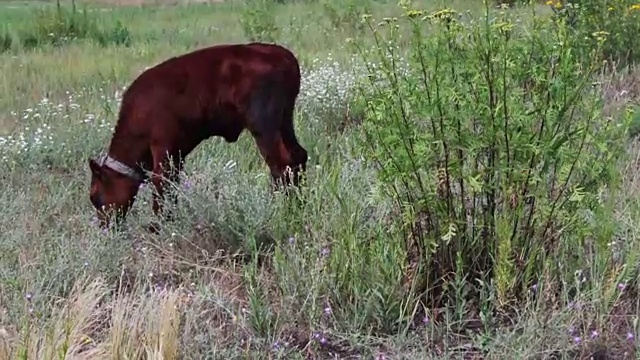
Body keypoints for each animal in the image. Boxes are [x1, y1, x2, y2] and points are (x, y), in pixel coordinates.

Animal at [89, 41, 308, 228]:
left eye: (94, 197)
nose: (105, 227)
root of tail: (283, 55)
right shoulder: (176, 154)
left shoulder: (163, 147)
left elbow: (161, 184)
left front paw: (158, 226)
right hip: (285, 123)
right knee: (298, 157)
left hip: (263, 127)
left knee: (281, 165)